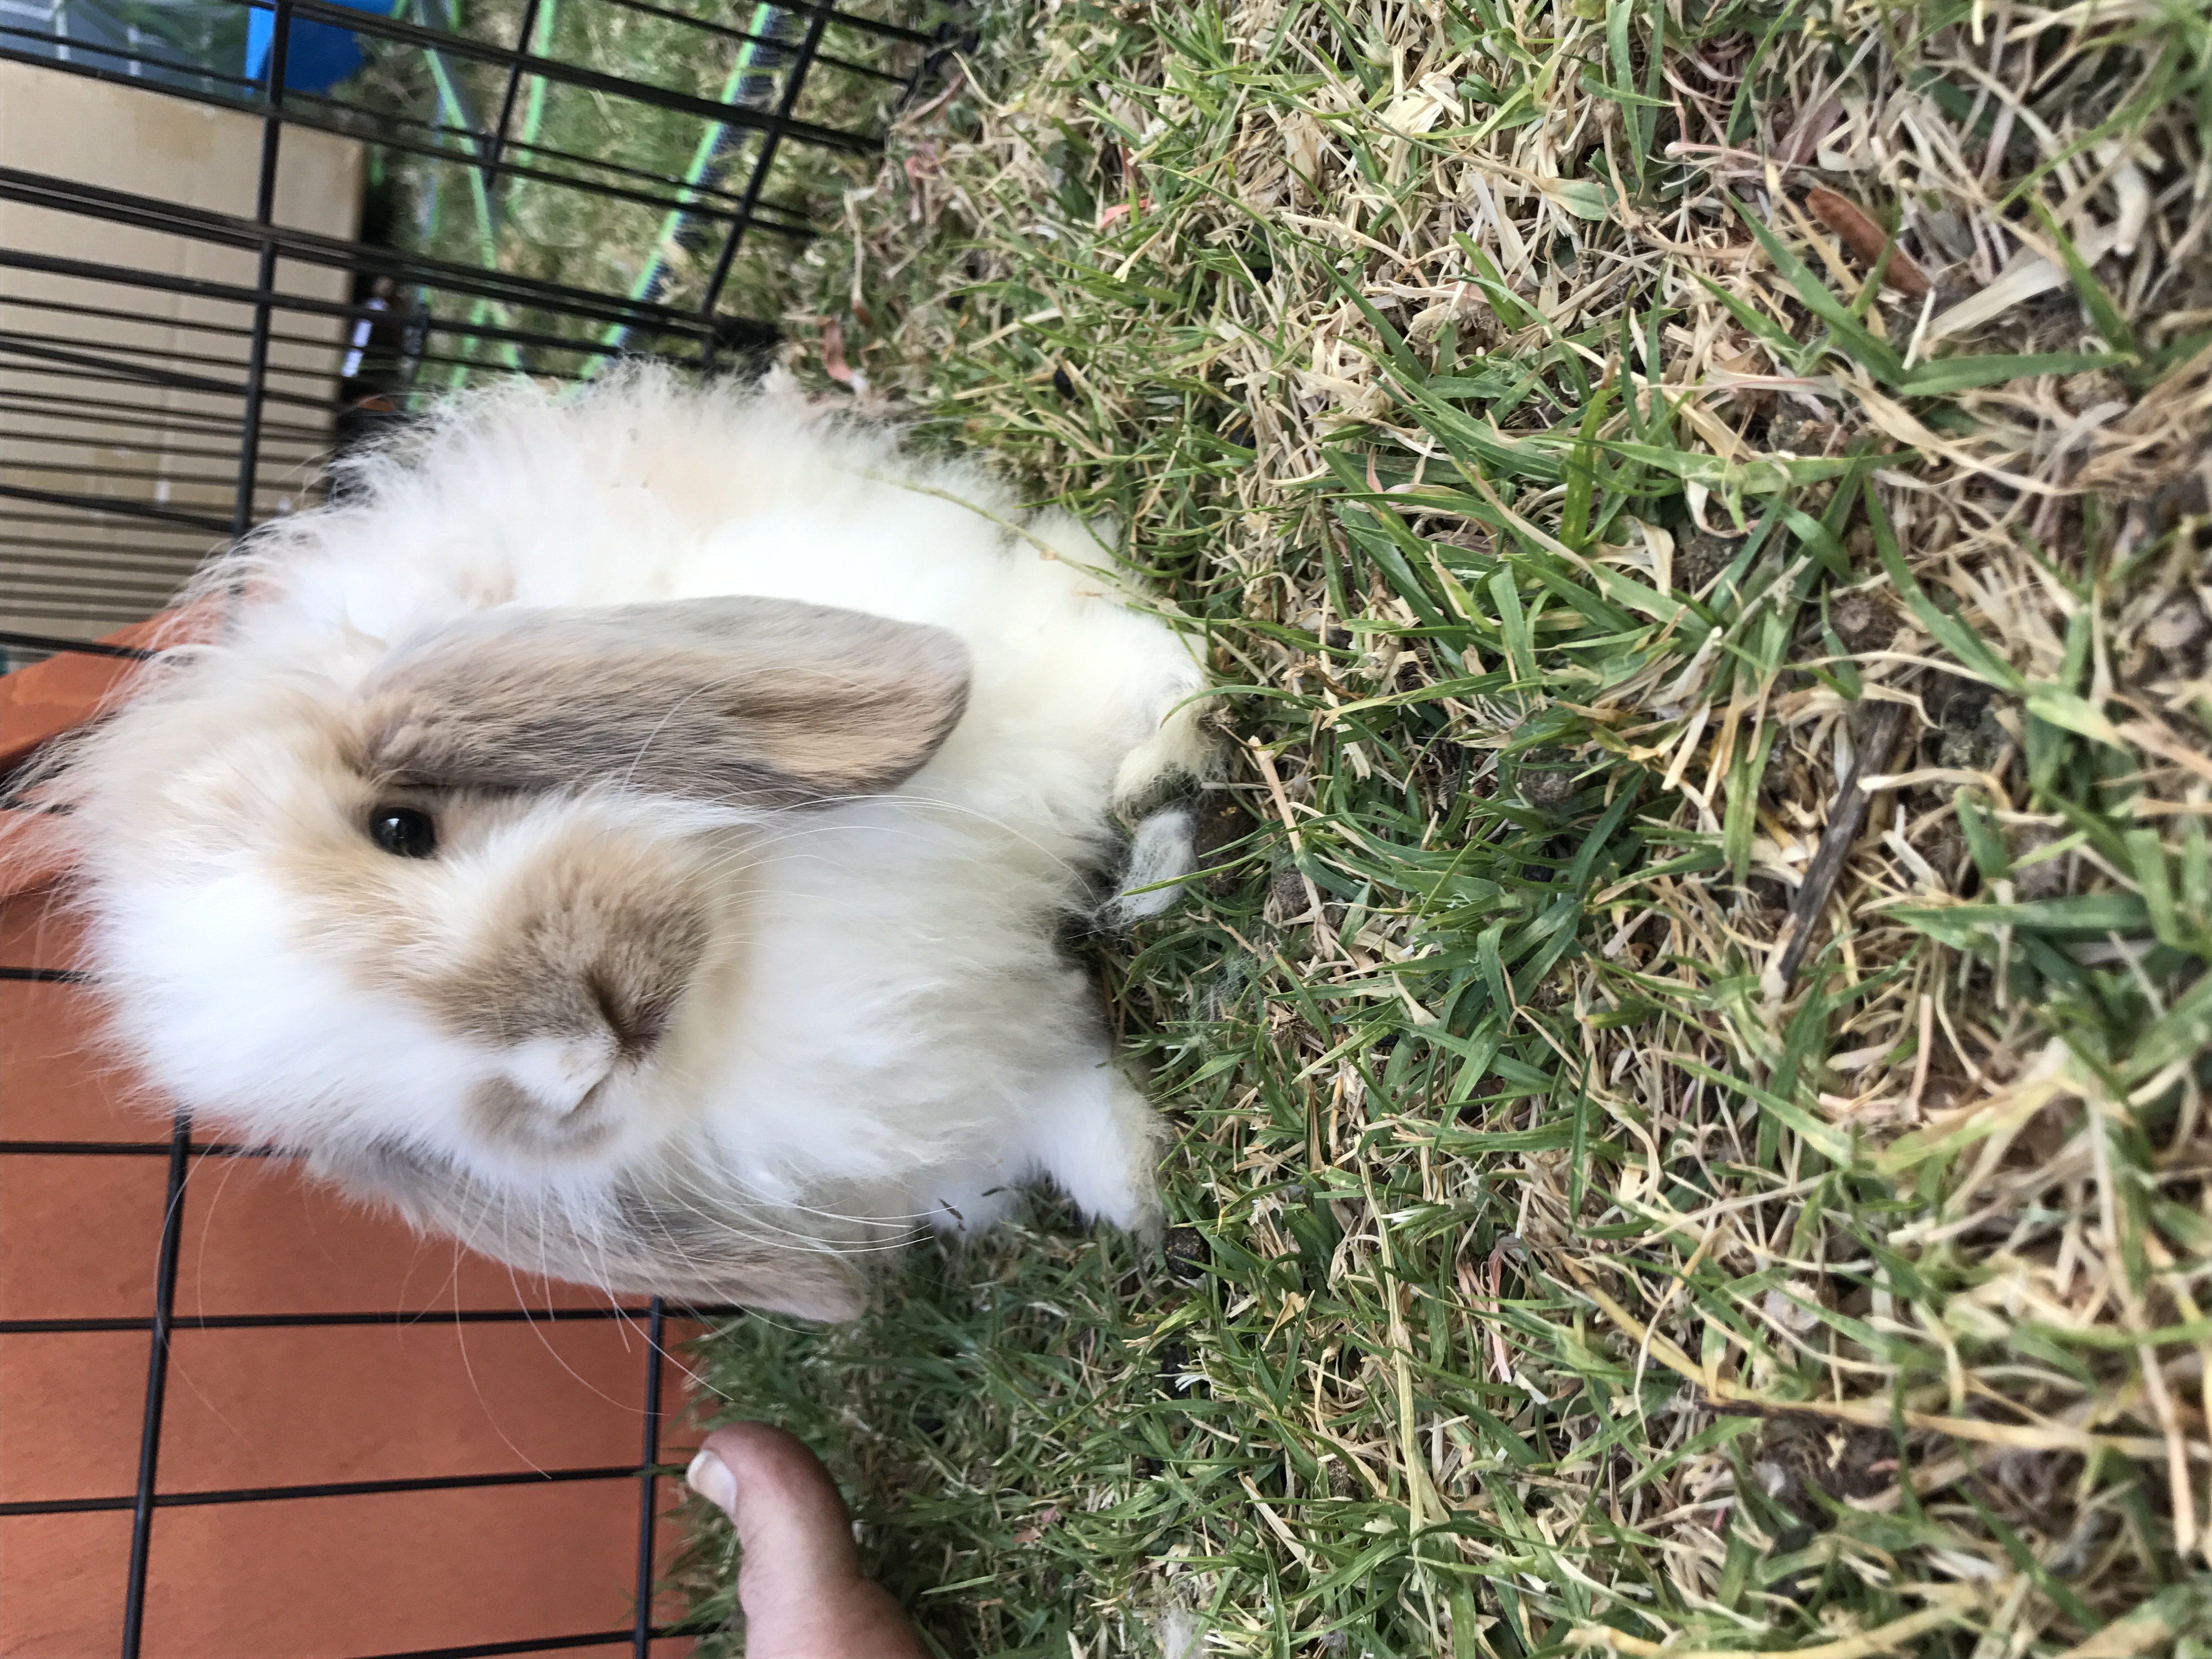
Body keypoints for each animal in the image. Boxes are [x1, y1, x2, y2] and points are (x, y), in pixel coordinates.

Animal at [47, 366, 1212, 1321]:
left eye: (401, 825)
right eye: (384, 1127)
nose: (577, 1057)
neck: (765, 952)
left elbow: (1116, 681)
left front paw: (1167, 746)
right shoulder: (971, 1076)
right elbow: (1058, 1105)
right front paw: (1145, 1194)